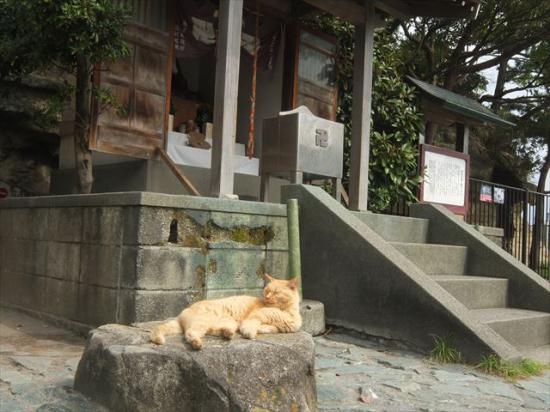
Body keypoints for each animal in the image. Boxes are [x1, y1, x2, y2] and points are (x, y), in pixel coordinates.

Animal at [150, 276, 302, 350]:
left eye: (275, 292)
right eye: (266, 291)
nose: (267, 297)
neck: (286, 311)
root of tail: (181, 314)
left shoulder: (281, 327)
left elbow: (271, 328)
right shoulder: (253, 317)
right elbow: (251, 325)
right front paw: (250, 333)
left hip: (227, 322)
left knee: (213, 331)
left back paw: (227, 333)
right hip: (204, 321)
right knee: (190, 333)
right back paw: (197, 344)